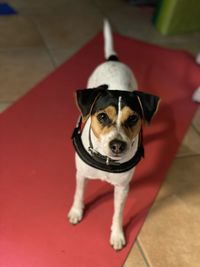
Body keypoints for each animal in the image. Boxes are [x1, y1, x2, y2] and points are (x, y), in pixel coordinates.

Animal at [68, 20, 160, 251]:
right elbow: (79, 193)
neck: (106, 161)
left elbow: (118, 213)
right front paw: (76, 212)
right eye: (102, 117)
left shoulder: (122, 188)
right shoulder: (81, 175)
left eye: (133, 118)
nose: (118, 145)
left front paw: (117, 235)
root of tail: (113, 60)